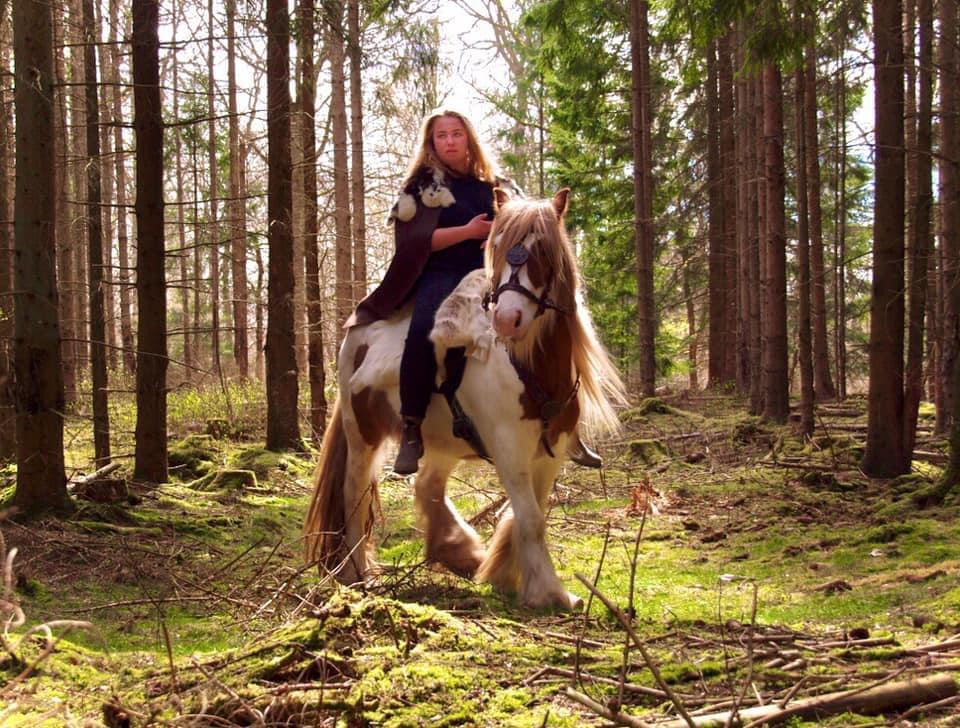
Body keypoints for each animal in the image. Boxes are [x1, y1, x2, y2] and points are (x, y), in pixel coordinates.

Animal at [304, 188, 628, 608]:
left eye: (543, 249)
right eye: (499, 246)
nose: (507, 320)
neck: (530, 366)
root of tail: (355, 333)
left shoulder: (551, 452)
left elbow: (530, 513)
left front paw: (507, 573)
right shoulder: (509, 451)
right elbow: (531, 518)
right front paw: (549, 592)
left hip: (443, 441)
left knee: (427, 486)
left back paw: (456, 551)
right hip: (362, 436)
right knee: (354, 495)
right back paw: (358, 574)